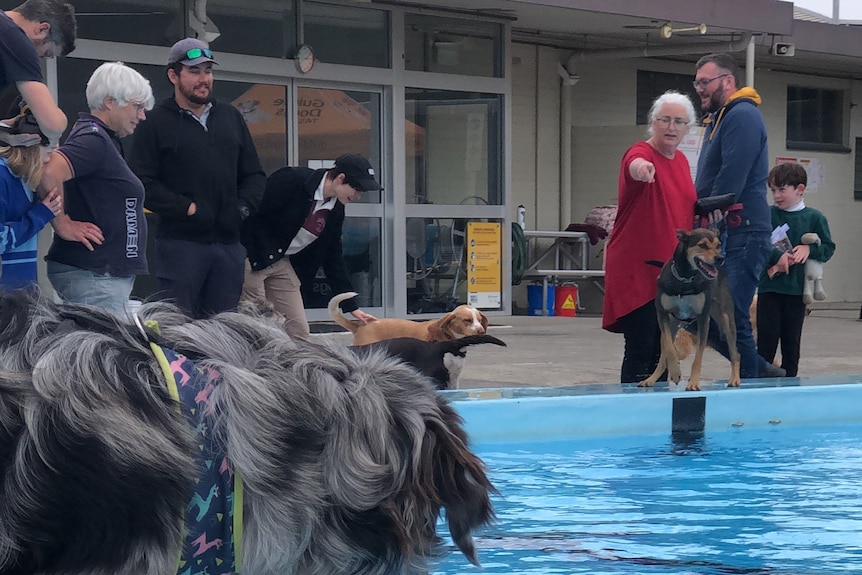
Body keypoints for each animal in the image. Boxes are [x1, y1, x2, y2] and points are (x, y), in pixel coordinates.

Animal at [640, 228, 744, 392]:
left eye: (718, 245)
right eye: (702, 245)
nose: (720, 258)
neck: (685, 278)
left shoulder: (703, 319)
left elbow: (698, 358)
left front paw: (694, 382)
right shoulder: (662, 315)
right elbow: (670, 350)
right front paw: (675, 372)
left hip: (726, 319)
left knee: (736, 352)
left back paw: (734, 379)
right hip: (673, 324)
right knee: (664, 354)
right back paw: (650, 379)